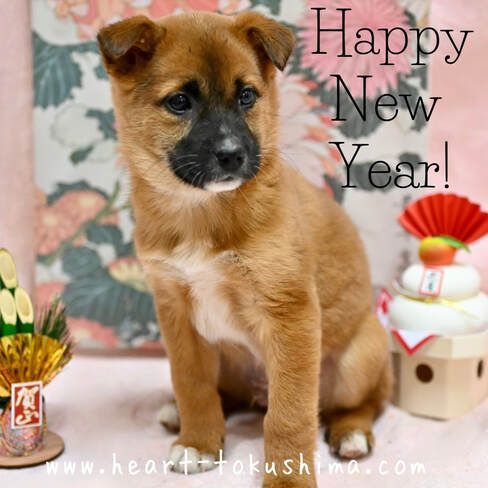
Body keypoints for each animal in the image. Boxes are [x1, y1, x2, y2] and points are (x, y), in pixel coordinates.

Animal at [98, 11, 392, 488]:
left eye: (247, 96)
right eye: (180, 102)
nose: (232, 155)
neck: (202, 214)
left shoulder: (290, 314)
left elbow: (289, 416)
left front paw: (288, 479)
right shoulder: (176, 313)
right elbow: (192, 383)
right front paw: (198, 442)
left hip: (358, 358)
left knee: (361, 404)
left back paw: (351, 434)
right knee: (224, 394)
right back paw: (177, 414)